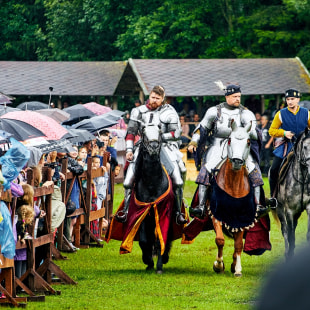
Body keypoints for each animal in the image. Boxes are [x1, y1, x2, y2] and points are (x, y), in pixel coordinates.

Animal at [211, 120, 256, 276]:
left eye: (248, 141)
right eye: (230, 140)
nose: (236, 161)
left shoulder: (243, 219)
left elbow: (238, 245)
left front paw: (237, 269)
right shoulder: (216, 215)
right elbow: (220, 240)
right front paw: (218, 265)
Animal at [272, 127, 310, 260]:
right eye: (305, 147)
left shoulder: (309, 207)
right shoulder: (289, 211)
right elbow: (290, 236)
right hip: (280, 208)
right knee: (285, 230)